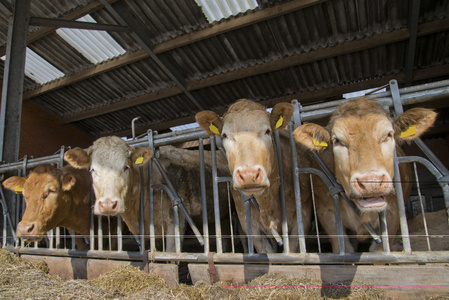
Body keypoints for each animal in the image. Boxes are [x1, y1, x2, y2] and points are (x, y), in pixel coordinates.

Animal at [196, 99, 312, 253]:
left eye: (268, 131)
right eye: (224, 135)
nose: (248, 174)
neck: (267, 203)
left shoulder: (302, 218)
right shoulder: (248, 224)